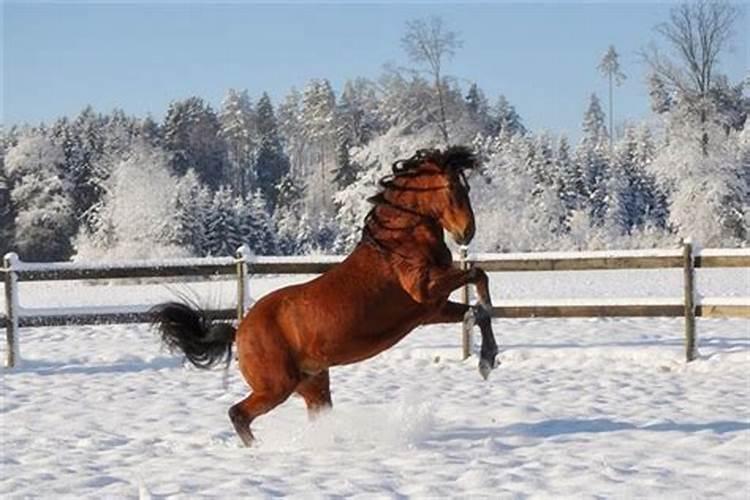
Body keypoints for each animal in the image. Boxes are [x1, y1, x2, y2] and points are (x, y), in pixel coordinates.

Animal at [153, 146, 499, 447]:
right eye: (453, 187)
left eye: (466, 187)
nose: (466, 232)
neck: (399, 242)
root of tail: (240, 330)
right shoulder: (424, 289)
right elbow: (478, 274)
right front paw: (486, 355)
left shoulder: (431, 310)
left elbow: (476, 309)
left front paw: (487, 357)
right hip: (277, 386)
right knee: (238, 414)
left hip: (313, 384)